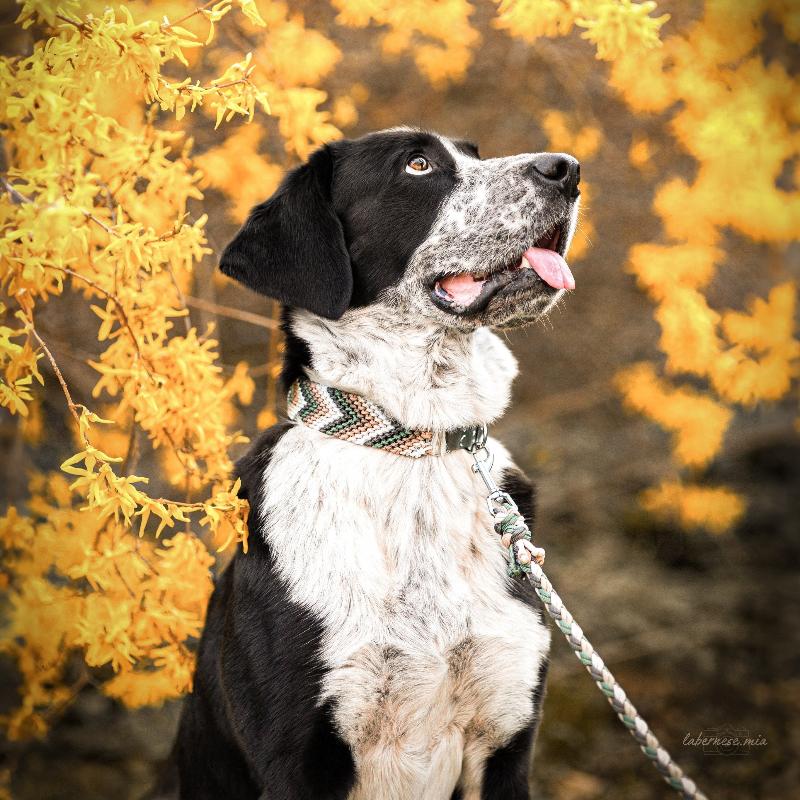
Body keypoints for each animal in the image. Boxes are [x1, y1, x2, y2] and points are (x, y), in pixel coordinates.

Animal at [172, 128, 580, 796]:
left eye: (475, 152)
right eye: (417, 164)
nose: (568, 169)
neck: (415, 451)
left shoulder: (505, 738)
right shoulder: (297, 760)